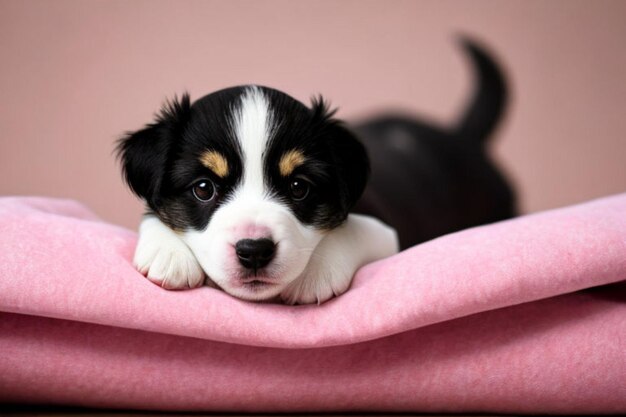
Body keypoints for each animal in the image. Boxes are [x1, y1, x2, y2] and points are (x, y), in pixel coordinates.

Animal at [117, 37, 512, 304]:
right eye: (203, 188)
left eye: (298, 187)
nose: (254, 250)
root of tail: (460, 137)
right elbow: (152, 214)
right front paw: (168, 253)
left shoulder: (387, 231)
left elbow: (352, 230)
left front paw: (316, 272)